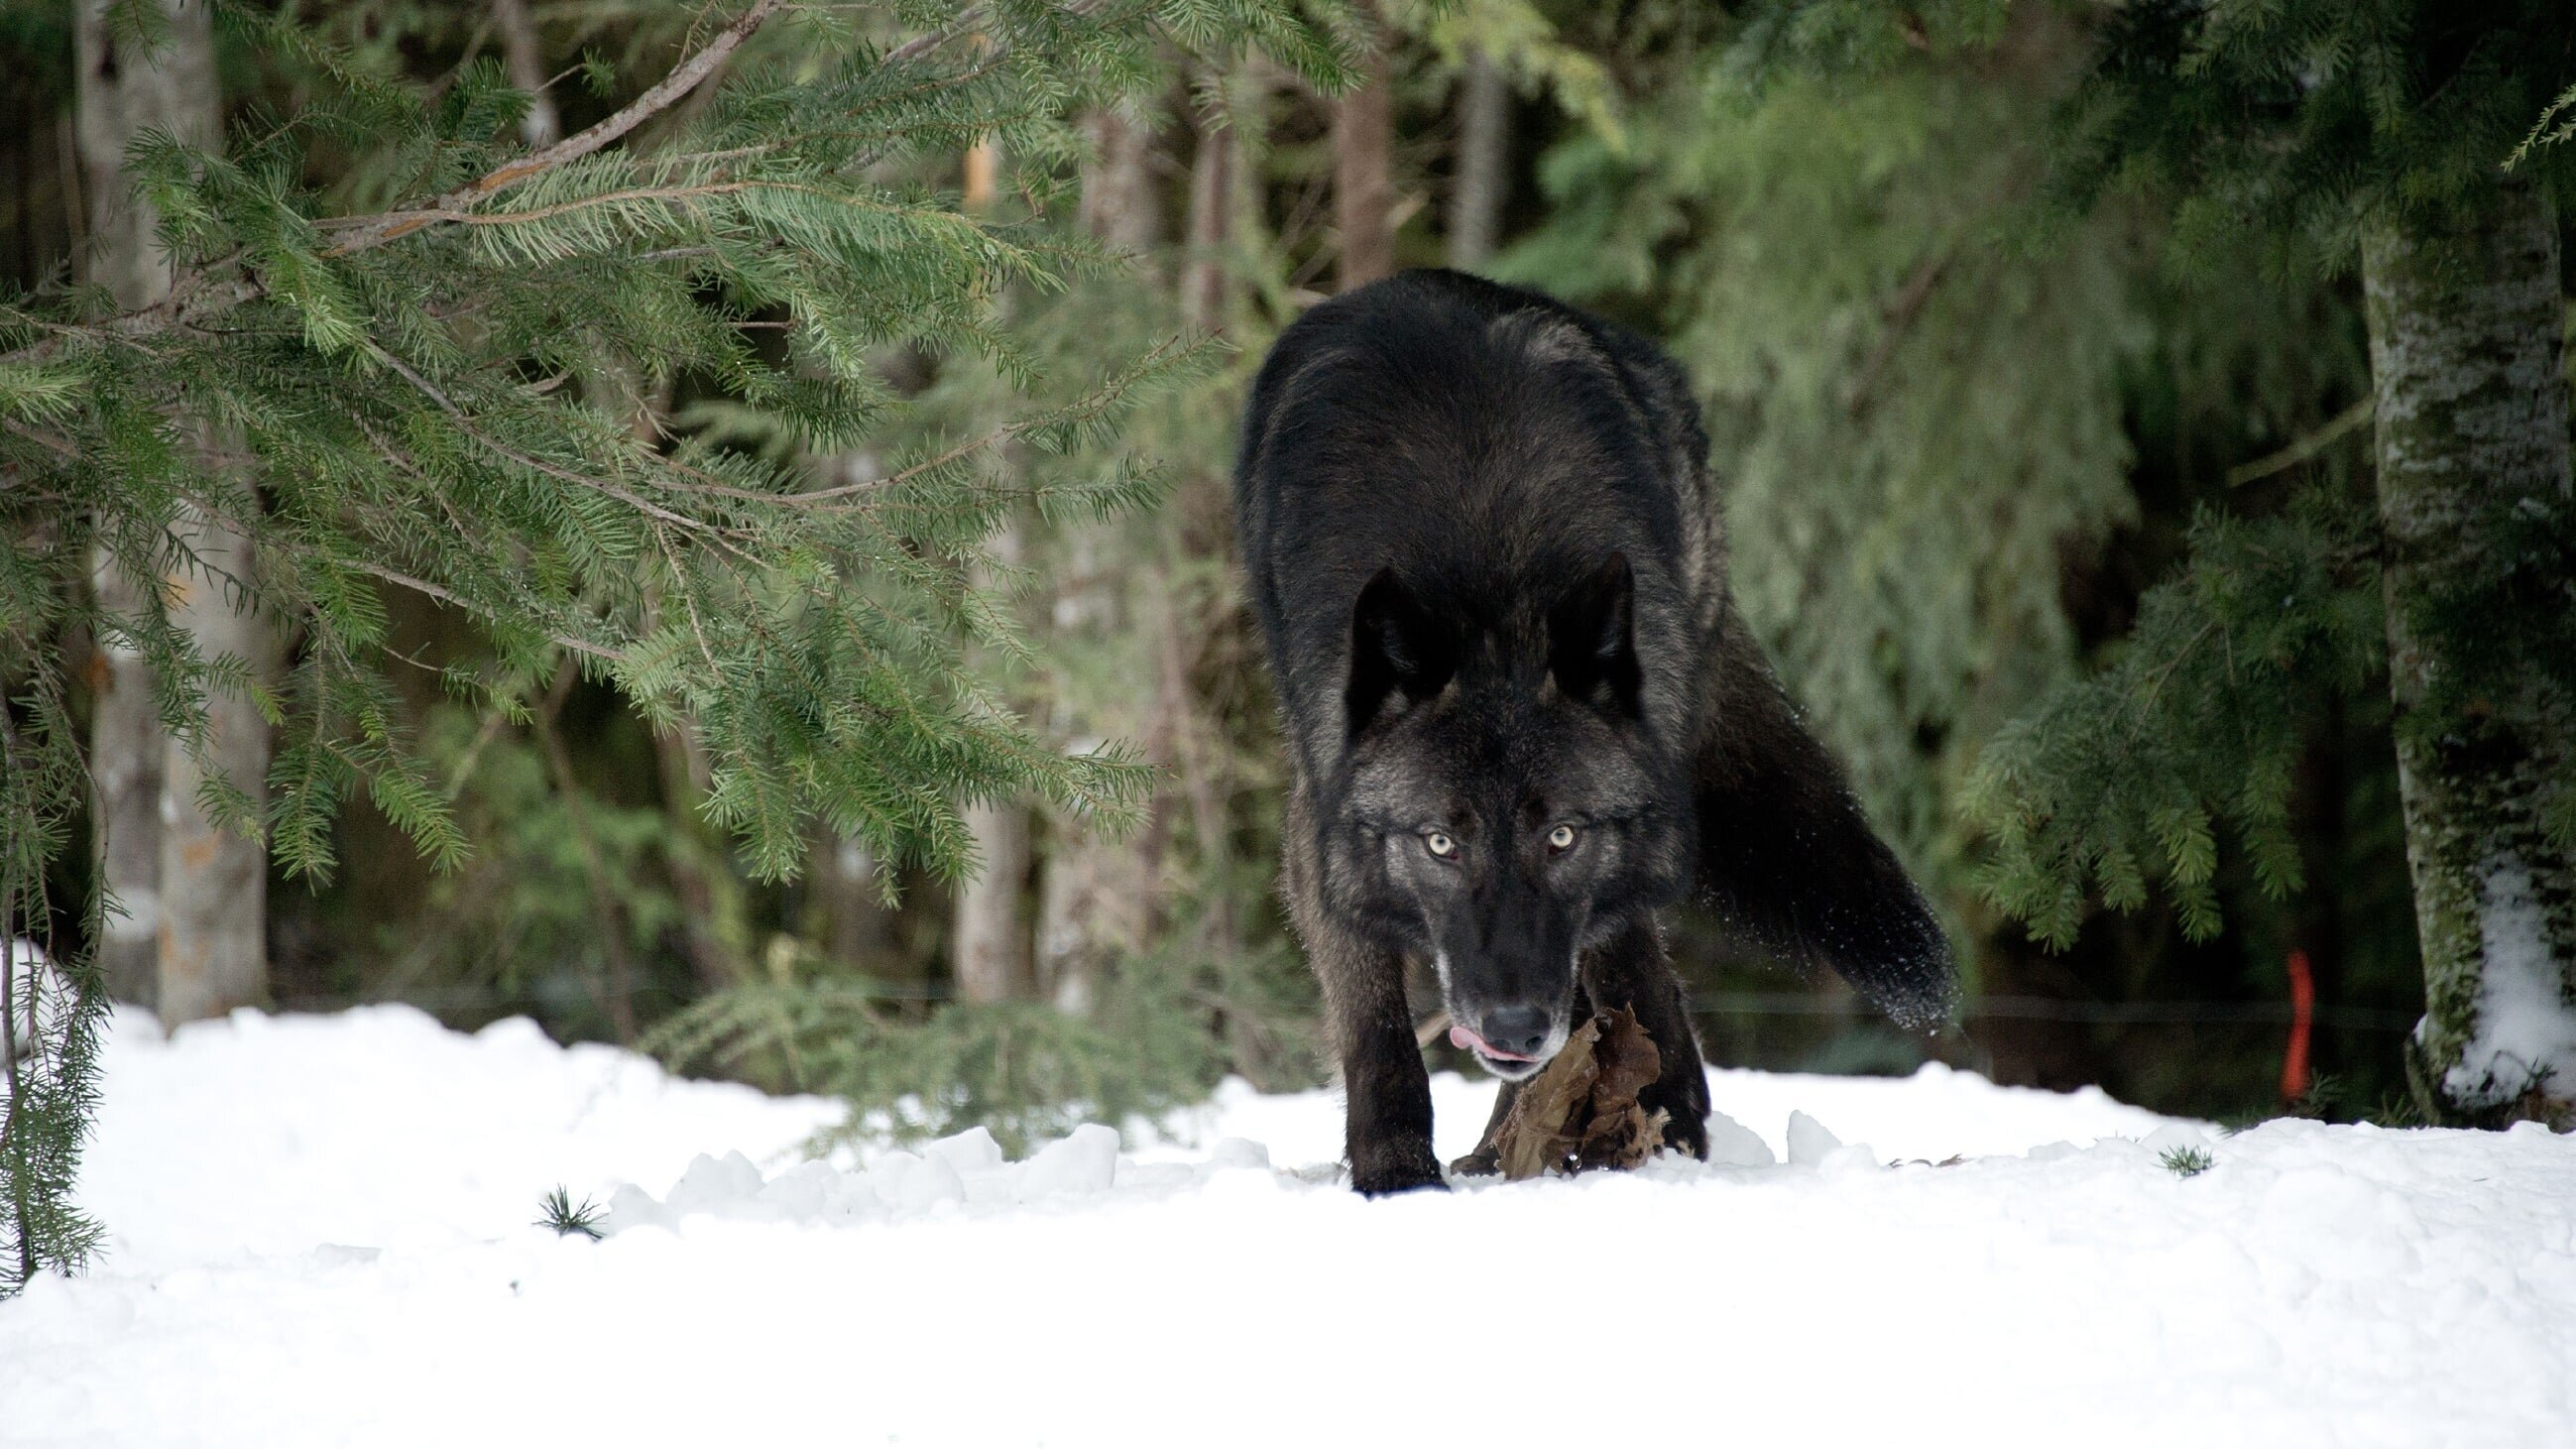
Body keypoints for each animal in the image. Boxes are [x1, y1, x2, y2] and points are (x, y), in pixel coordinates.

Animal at [1230, 265, 1947, 1191]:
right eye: (1440, 843)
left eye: (1563, 835)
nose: (1510, 1025)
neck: (1490, 575)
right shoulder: (1323, 826)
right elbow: (1376, 1027)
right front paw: (1397, 1175)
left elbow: (1620, 967)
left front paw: (1662, 1117)